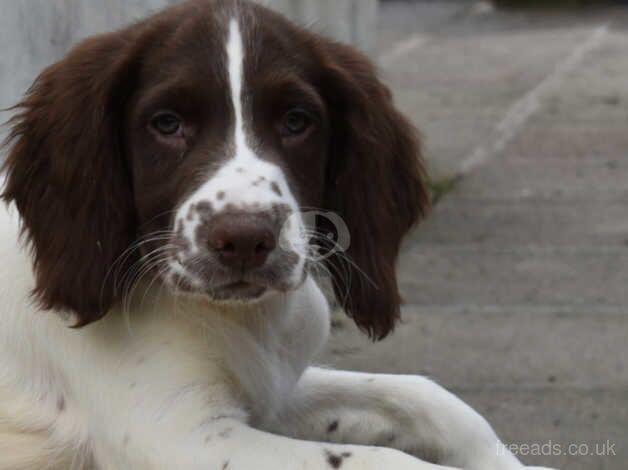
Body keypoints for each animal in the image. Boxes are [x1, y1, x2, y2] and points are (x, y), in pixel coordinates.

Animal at [0, 0, 556, 470]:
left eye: (296, 120)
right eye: (167, 123)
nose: (245, 239)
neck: (244, 319)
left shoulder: (273, 392)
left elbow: (426, 397)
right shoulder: (172, 434)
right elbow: (382, 460)